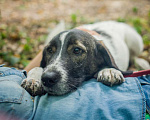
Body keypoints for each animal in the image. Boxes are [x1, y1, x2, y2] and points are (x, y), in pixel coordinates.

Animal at [20, 20, 149, 95]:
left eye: (77, 50)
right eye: (50, 50)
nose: (47, 79)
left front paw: (110, 70)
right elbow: (38, 68)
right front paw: (33, 79)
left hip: (136, 41)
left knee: (135, 56)